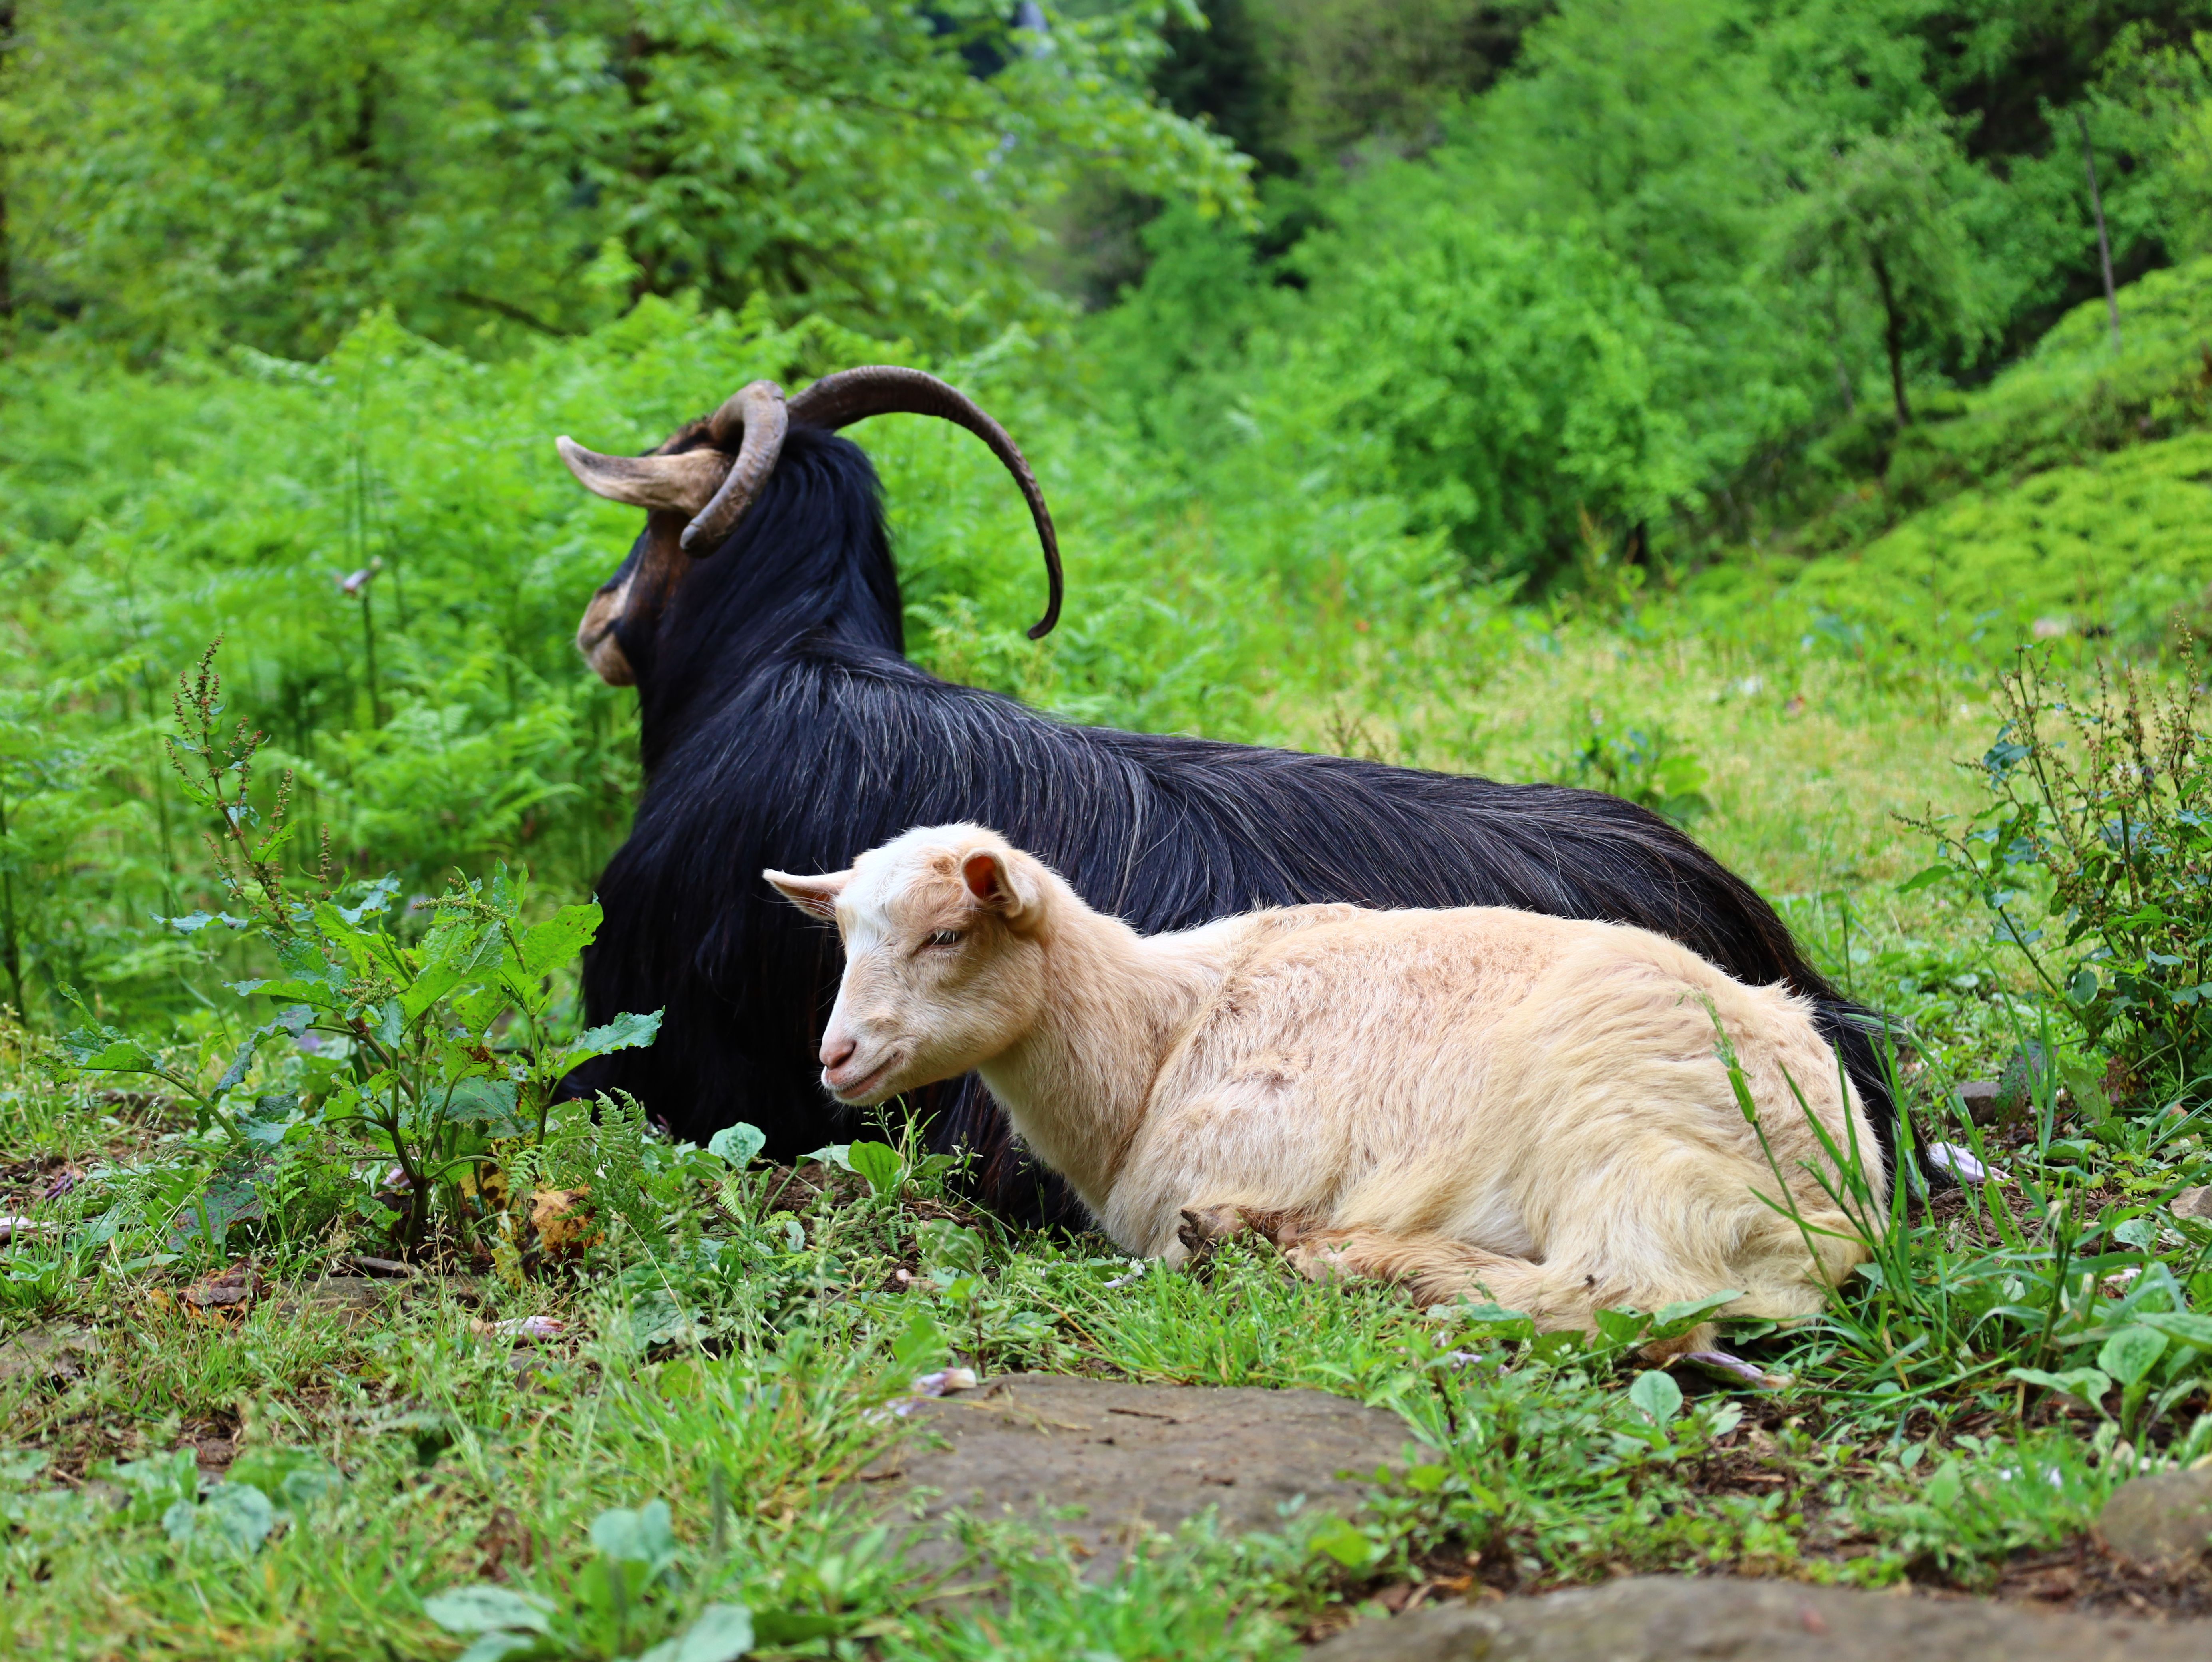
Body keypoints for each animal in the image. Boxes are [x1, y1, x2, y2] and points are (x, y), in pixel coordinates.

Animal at [767, 824, 1886, 1349]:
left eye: (948, 933)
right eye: (844, 933)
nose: (835, 1057)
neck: (1153, 1036)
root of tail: (1845, 1193)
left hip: (1617, 1130)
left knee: (1630, 1300)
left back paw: (1350, 1260)